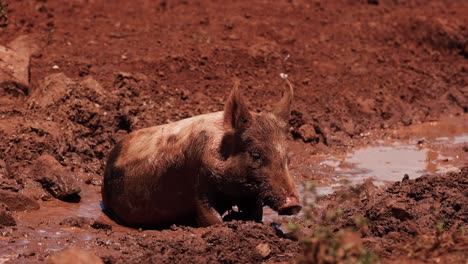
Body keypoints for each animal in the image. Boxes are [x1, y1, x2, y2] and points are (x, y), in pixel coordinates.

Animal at [102, 77, 300, 228]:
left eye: (288, 157)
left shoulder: (252, 195)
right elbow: (211, 217)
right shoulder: (197, 182)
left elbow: (255, 215)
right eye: (256, 154)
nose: (294, 204)